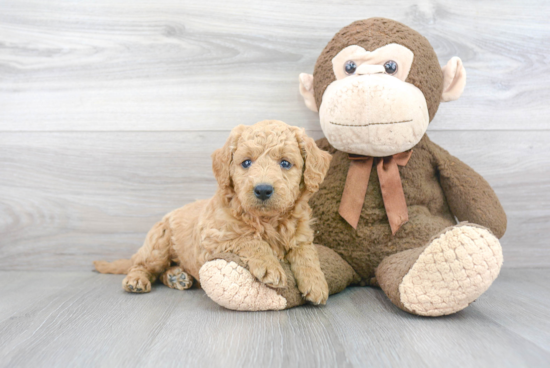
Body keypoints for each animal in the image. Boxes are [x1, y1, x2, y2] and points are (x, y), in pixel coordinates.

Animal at [95, 120, 334, 304]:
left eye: (285, 163)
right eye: (246, 162)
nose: (263, 190)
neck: (267, 220)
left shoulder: (301, 236)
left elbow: (307, 254)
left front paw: (316, 283)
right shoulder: (214, 238)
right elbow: (250, 240)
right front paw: (270, 266)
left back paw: (177, 277)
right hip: (158, 244)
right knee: (142, 265)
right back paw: (137, 280)